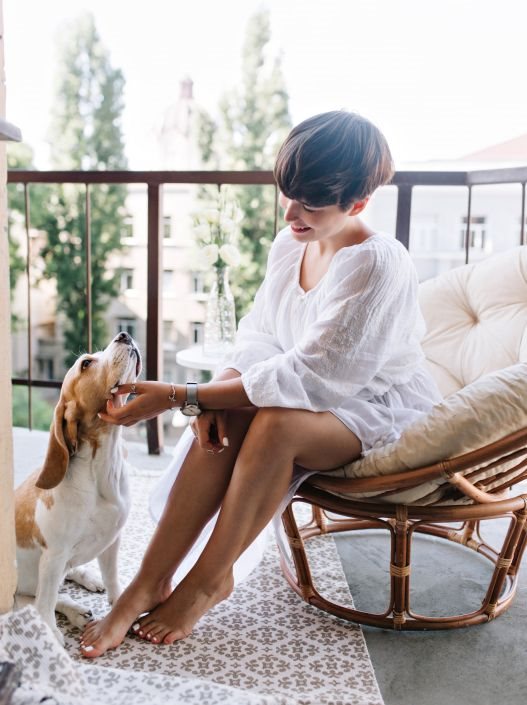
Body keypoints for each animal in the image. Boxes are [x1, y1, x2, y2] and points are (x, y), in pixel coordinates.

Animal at [14, 331, 142, 643]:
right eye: (86, 363)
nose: (124, 335)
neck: (101, 471)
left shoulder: (112, 541)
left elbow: (113, 579)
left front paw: (118, 606)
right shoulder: (53, 555)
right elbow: (45, 602)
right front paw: (51, 633)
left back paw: (86, 581)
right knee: (37, 599)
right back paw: (74, 611)